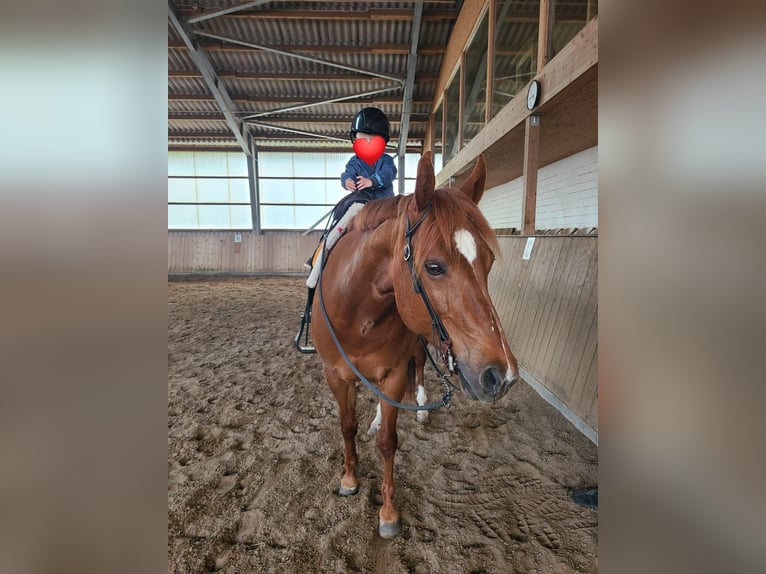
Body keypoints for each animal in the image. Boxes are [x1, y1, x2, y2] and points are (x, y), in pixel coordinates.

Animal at [308, 152, 520, 540]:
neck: (357, 309)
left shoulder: (393, 374)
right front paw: (349, 479)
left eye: (488, 262)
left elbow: (388, 442)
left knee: (419, 365)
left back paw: (420, 408)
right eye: (433, 267)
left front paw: (388, 513)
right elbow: (347, 426)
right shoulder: (335, 375)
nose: (503, 375)